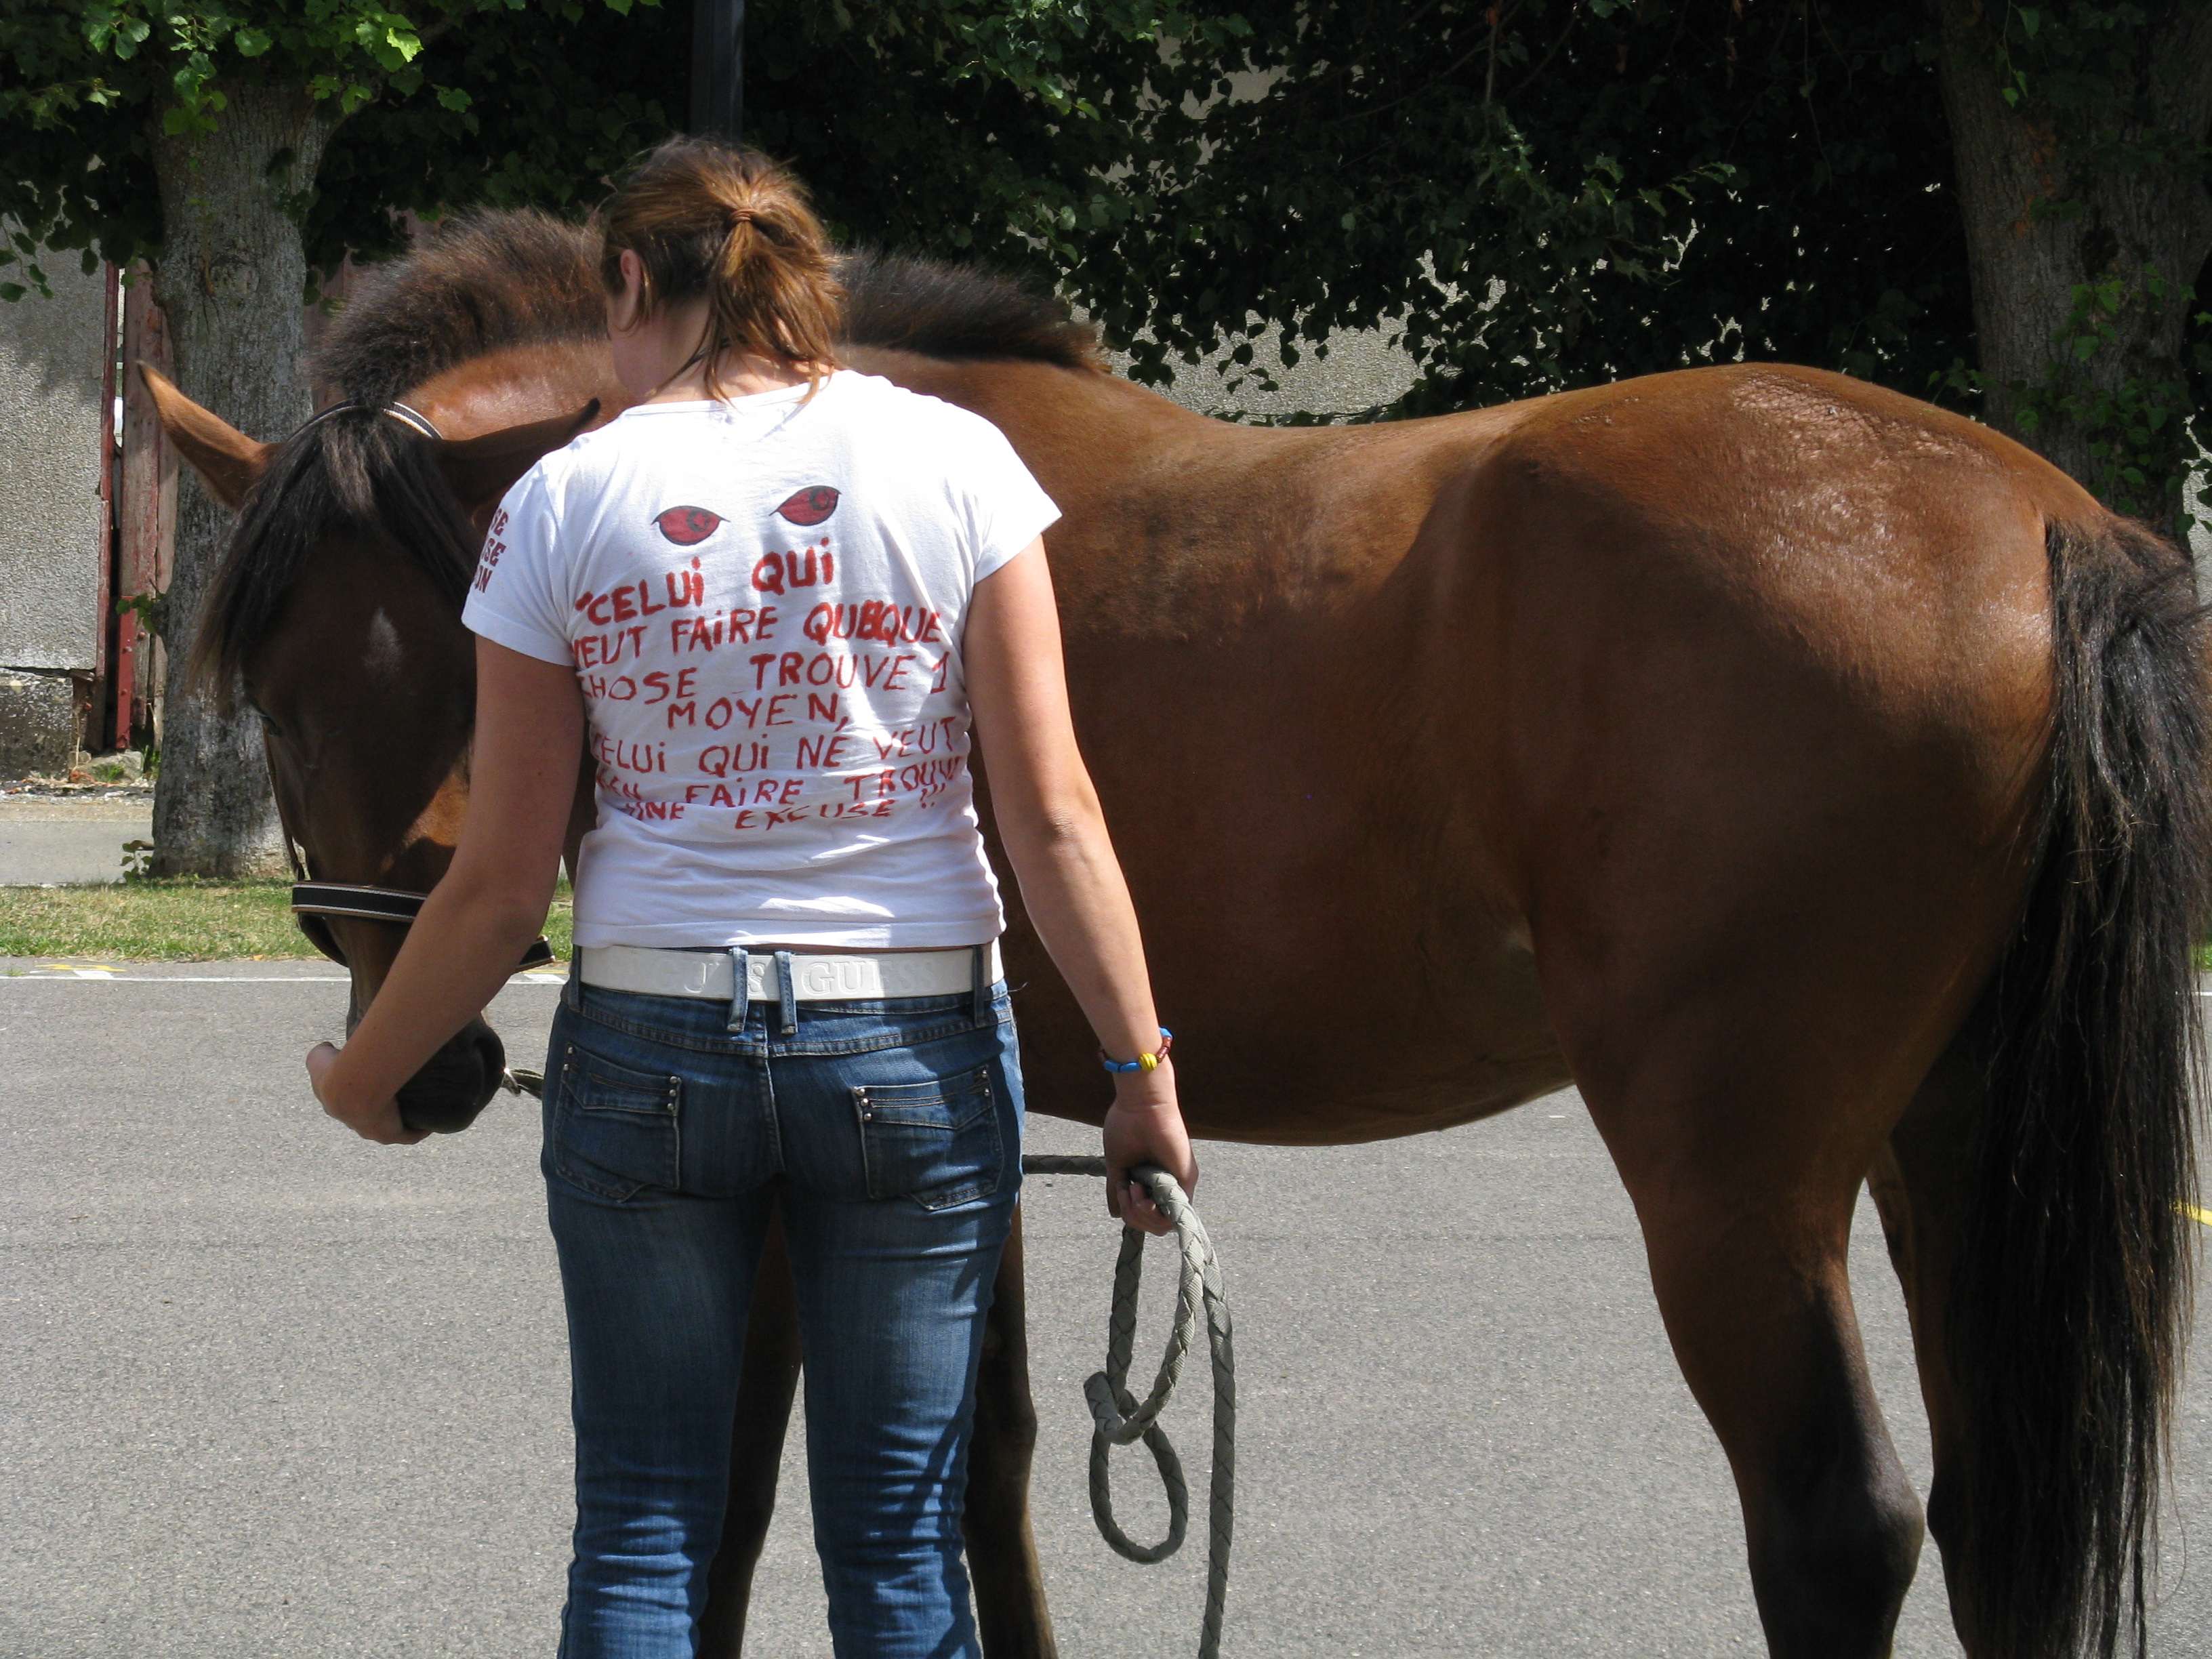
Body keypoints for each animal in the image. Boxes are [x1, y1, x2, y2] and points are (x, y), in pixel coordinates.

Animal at [147, 211, 2203, 1659]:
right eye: (278, 687)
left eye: (476, 649)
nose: (424, 1058)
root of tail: (2041, 525)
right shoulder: (961, 1129)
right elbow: (966, 1468)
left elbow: (731, 1483)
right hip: (1951, 1147)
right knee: (2001, 1523)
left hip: (1736, 1175)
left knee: (1838, 1523)